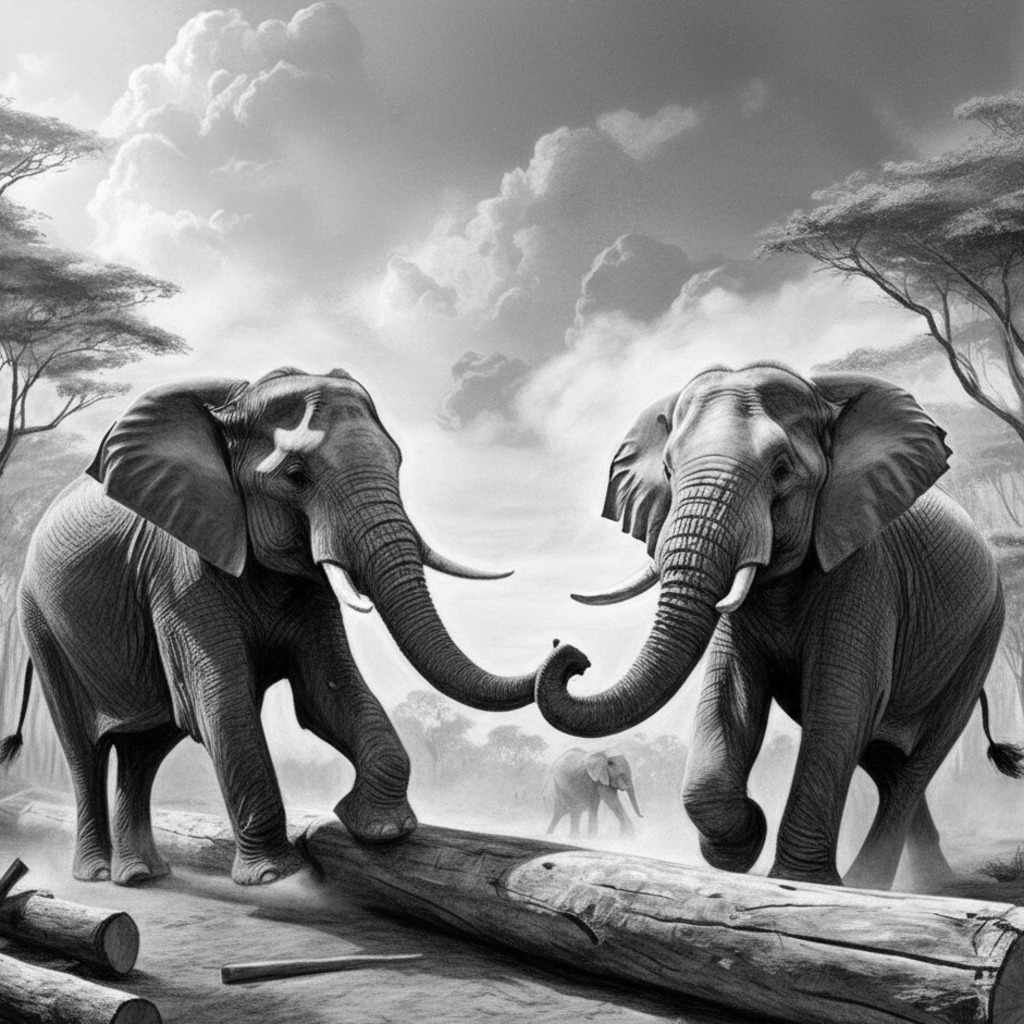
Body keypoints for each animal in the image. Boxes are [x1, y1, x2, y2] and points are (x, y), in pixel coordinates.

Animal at [2, 367, 544, 886]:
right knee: (85, 750)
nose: (561, 651)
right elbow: (222, 701)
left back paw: (142, 876)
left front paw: (380, 829)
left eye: (397, 464)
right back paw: (96, 874)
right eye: (296, 475)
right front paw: (275, 877)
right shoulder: (179, 568)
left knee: (144, 749)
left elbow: (329, 688)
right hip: (40, 623)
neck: (236, 406)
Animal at [536, 363, 1021, 890]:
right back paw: (922, 882)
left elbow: (841, 700)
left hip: (982, 637)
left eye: (782, 470)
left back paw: (871, 883)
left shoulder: (865, 563)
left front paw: (799, 878)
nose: (572, 655)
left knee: (914, 764)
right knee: (884, 761)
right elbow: (732, 692)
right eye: (668, 471)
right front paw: (741, 842)